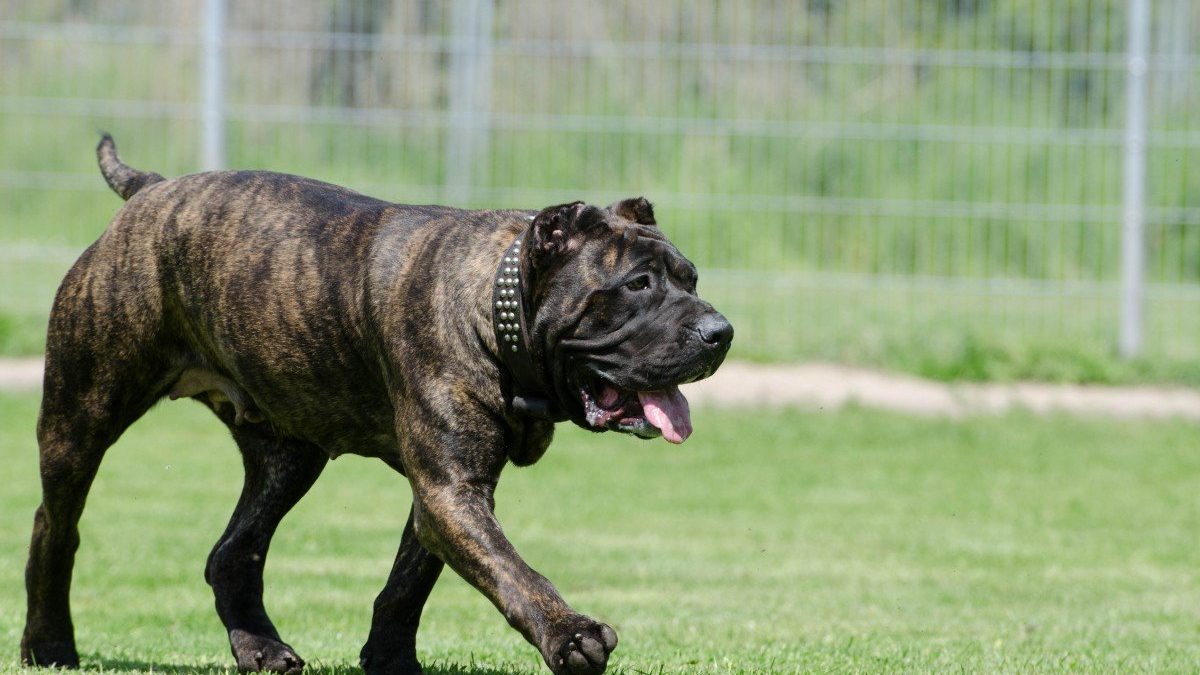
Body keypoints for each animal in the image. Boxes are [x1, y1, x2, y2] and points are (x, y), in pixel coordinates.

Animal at [21, 136, 729, 672]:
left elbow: (409, 583)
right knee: (55, 527)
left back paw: (261, 647)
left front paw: (389, 659)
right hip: (81, 416)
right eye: (637, 284)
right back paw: (49, 644)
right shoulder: (451, 489)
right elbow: (510, 570)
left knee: (234, 552)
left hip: (288, 455)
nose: (719, 331)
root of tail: (149, 190)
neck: (495, 310)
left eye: (691, 279)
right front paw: (569, 634)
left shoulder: (445, 491)